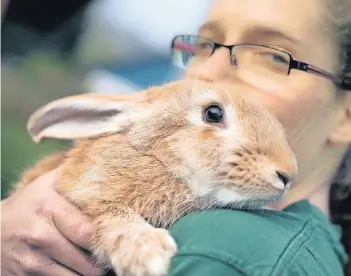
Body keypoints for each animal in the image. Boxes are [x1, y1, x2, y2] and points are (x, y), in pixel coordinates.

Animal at [15, 79, 296, 276]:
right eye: (214, 113)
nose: (288, 174)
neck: (160, 161)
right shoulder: (91, 196)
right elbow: (114, 219)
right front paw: (150, 256)